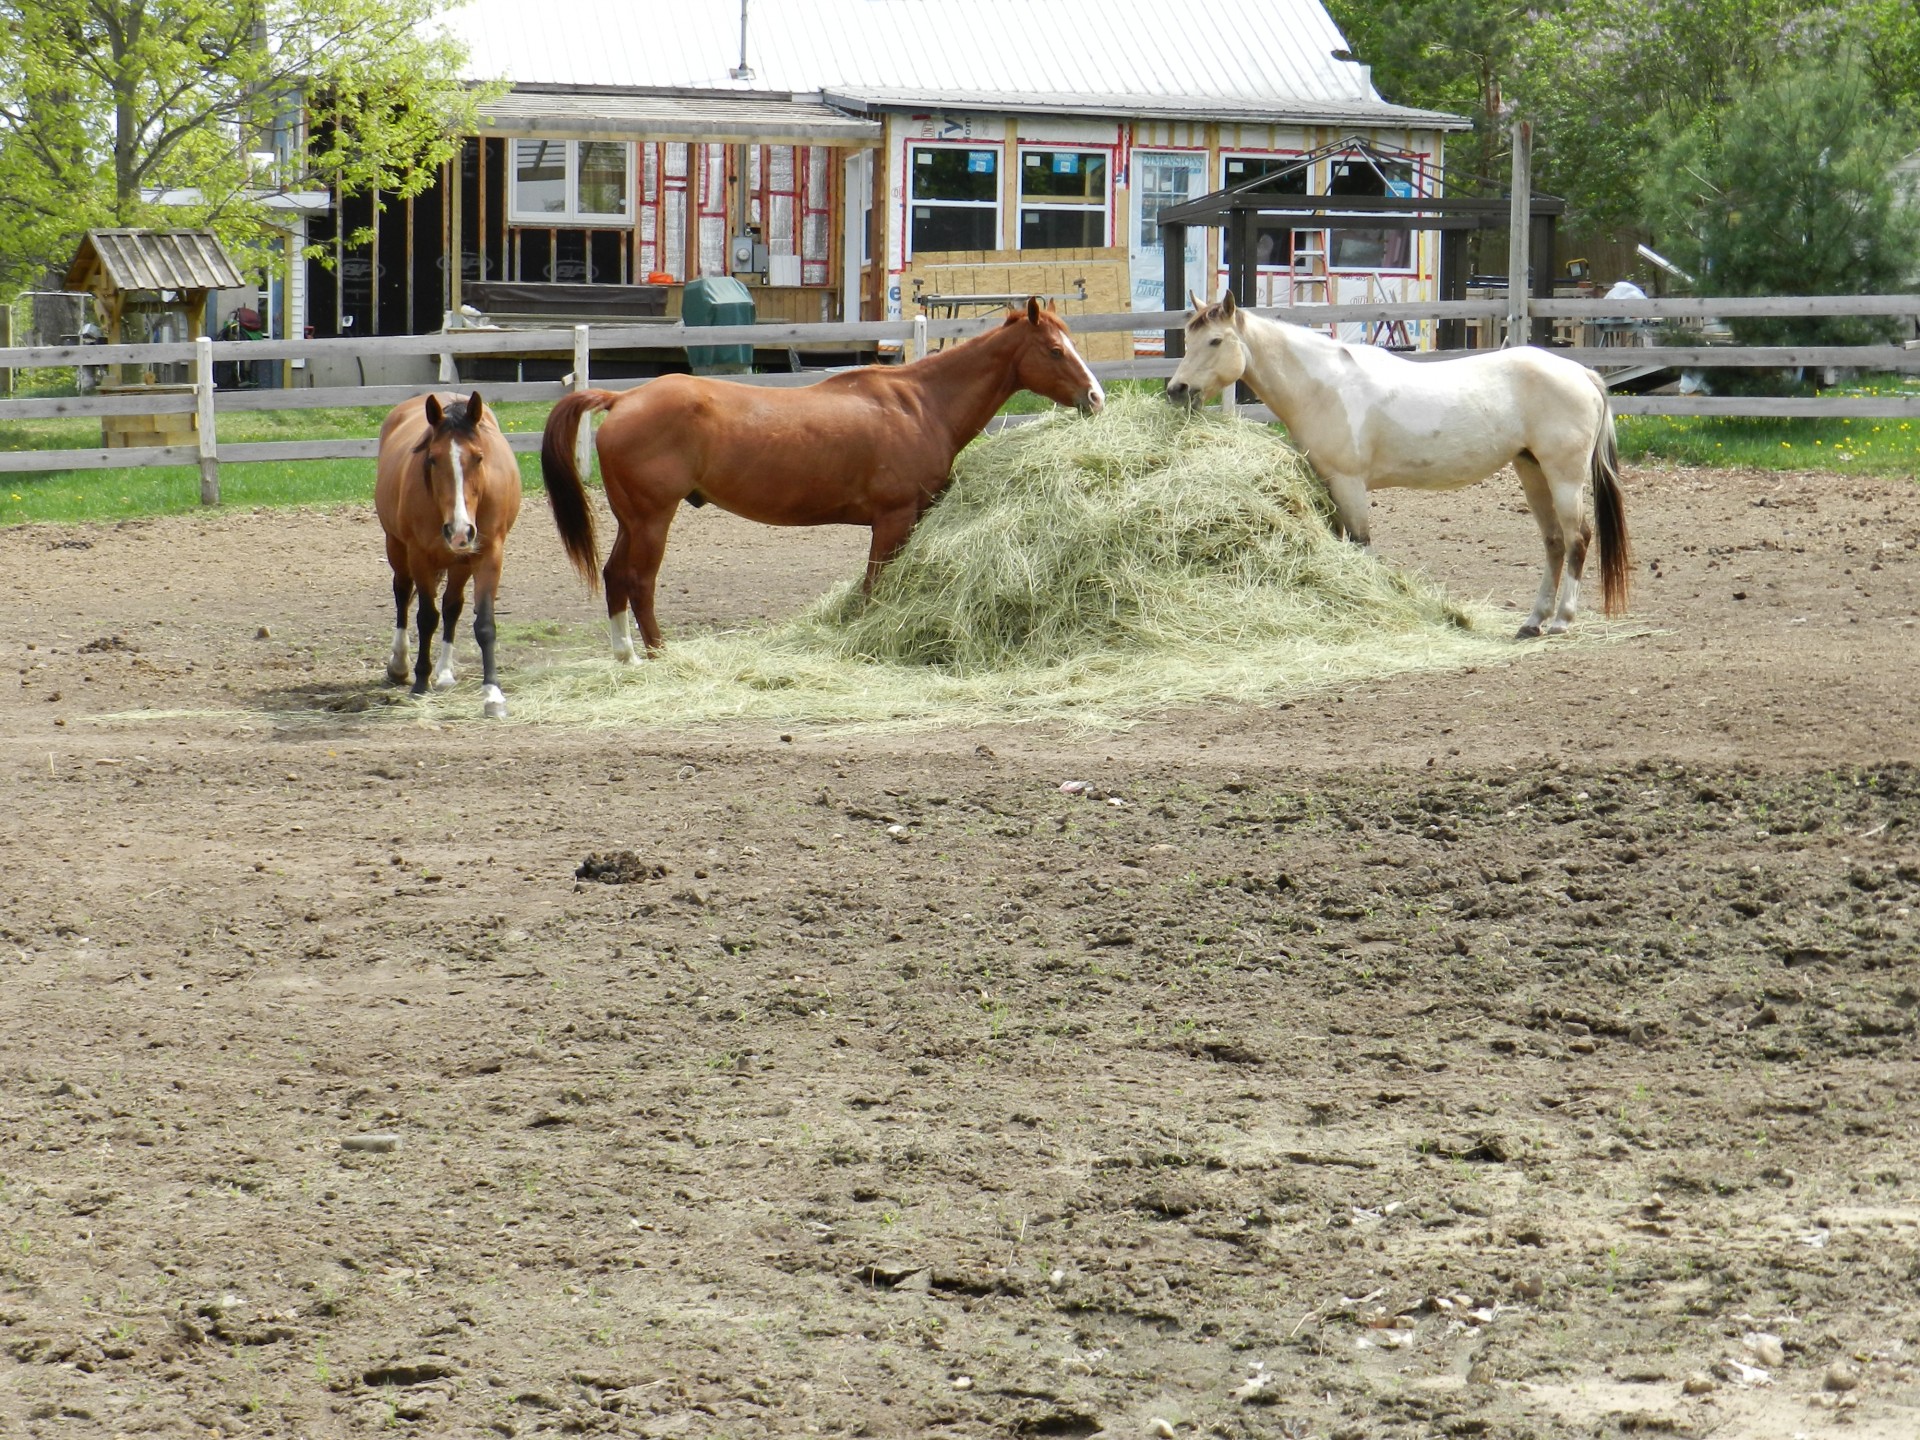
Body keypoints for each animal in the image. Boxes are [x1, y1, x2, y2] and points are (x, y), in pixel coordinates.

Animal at [370, 391, 522, 718]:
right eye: (432, 458)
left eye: (479, 457)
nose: (459, 530)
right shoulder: (419, 555)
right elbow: (426, 617)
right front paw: (419, 682)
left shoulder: (489, 554)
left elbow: (484, 623)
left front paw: (492, 694)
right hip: (397, 548)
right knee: (402, 594)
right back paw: (400, 665)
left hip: (461, 562)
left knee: (453, 606)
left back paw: (445, 672)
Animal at [541, 305, 1105, 664]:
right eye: (1055, 350)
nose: (1096, 397)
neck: (921, 403)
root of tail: (622, 399)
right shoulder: (893, 519)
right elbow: (875, 586)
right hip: (653, 519)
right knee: (638, 581)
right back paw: (658, 654)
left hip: (631, 520)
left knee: (615, 576)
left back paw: (627, 655)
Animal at [1159, 293, 1628, 637]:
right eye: (1188, 339)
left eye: (1215, 341)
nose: (1176, 390)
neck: (1324, 386)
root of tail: (1582, 374)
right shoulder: (1331, 484)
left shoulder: (1349, 484)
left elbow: (1361, 545)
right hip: (1531, 472)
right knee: (1553, 542)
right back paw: (1533, 621)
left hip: (1563, 476)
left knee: (1577, 539)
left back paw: (1562, 620)